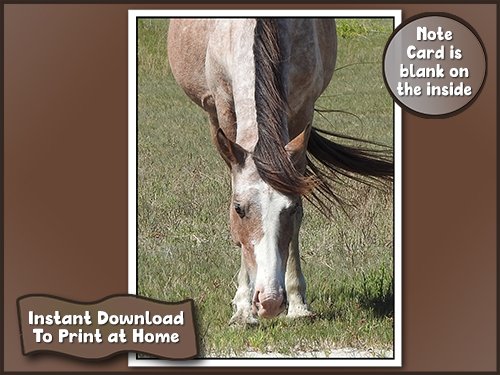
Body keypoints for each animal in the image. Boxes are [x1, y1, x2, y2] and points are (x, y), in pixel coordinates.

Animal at [166, 18, 392, 326]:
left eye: (292, 209)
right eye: (238, 208)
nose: (270, 302)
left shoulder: (302, 110)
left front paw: (298, 304)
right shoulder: (225, 108)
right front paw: (242, 309)